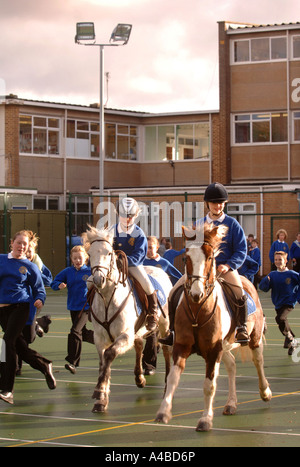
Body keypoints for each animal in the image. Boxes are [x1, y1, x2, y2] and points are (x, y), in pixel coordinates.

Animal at [155, 225, 272, 434]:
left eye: (210, 258)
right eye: (185, 258)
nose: (196, 293)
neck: (197, 311)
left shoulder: (213, 350)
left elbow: (209, 385)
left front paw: (205, 420)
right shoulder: (181, 346)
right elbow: (173, 378)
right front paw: (163, 412)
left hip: (254, 338)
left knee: (258, 361)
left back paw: (265, 391)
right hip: (224, 347)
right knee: (232, 365)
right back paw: (231, 404)